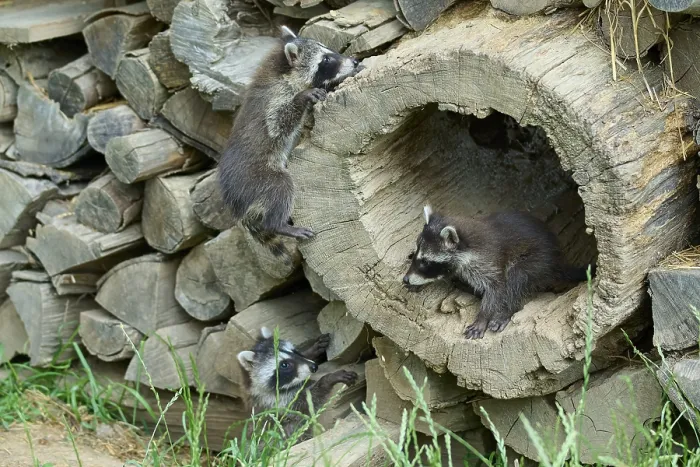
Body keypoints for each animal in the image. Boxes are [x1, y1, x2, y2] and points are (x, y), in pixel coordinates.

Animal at [218, 26, 363, 256]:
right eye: (326, 59)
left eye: (329, 52)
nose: (354, 61)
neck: (281, 70)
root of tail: (236, 204)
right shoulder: (275, 98)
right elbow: (277, 123)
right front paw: (303, 98)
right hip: (258, 179)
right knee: (281, 187)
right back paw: (278, 225)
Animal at [403, 206, 596, 340]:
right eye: (415, 255)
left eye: (426, 262)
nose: (405, 279)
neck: (468, 247)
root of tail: (558, 261)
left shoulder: (489, 261)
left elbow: (497, 288)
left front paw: (483, 316)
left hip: (538, 261)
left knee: (517, 278)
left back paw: (506, 310)